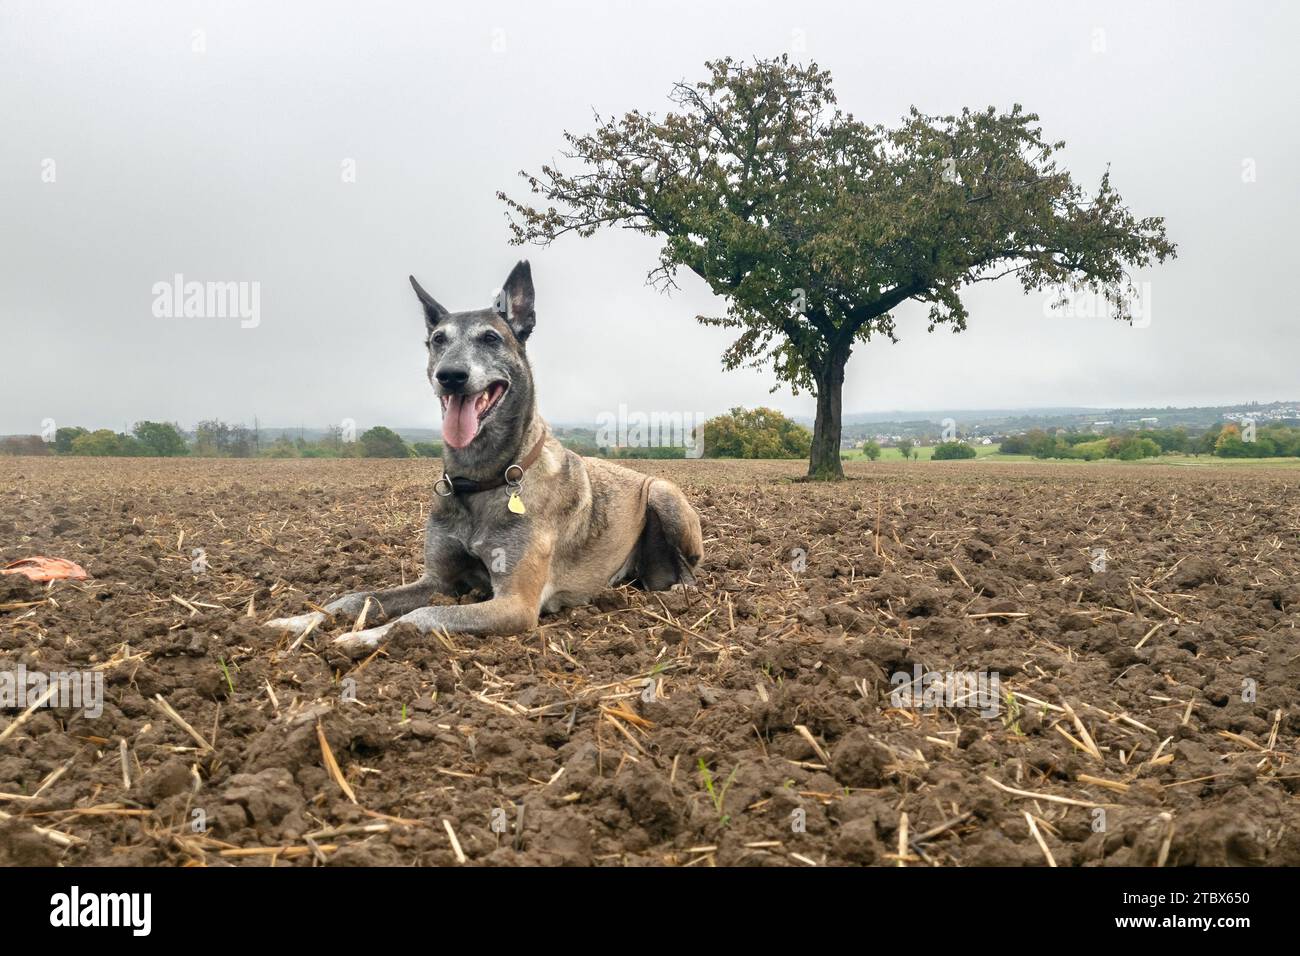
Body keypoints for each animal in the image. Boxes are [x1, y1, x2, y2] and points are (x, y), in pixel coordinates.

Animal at [265, 257, 707, 655]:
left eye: (491, 338)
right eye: (438, 340)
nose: (450, 376)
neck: (483, 479)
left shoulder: (515, 603)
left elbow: (421, 616)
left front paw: (365, 636)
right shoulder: (437, 582)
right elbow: (360, 596)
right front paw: (300, 619)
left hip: (663, 494)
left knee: (689, 573)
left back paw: (673, 593)